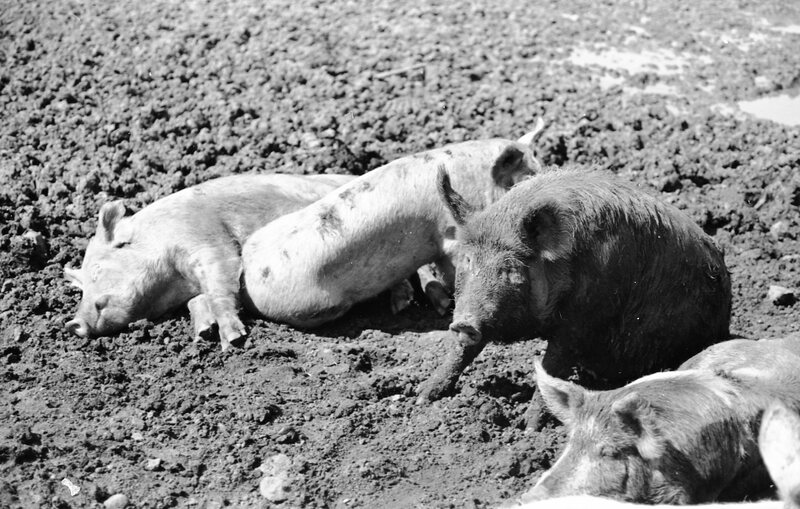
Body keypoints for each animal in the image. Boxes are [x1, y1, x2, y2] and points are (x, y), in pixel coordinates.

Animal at [64, 173, 355, 349]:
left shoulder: (205, 238)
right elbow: (196, 300)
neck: (174, 282)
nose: (72, 323)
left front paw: (232, 340)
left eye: (97, 270)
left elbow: (219, 285)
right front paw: (202, 334)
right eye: (82, 289)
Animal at [420, 166, 731, 401]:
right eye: (467, 261)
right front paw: (424, 396)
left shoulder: (582, 319)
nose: (464, 323)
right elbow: (461, 352)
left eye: (509, 269)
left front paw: (530, 428)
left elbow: (552, 367)